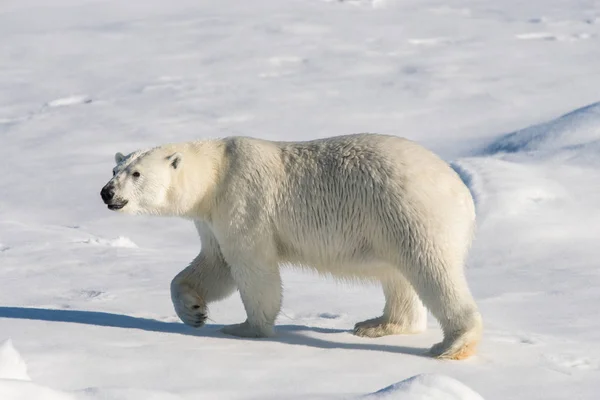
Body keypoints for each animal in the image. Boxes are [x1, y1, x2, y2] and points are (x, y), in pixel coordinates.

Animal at [99, 134, 482, 360]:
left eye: (136, 174)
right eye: (115, 168)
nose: (106, 192)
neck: (216, 172)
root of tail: (462, 192)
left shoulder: (242, 198)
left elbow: (253, 266)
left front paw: (245, 328)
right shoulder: (210, 218)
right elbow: (214, 263)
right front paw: (194, 311)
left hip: (410, 210)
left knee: (432, 271)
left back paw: (453, 345)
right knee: (397, 276)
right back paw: (379, 324)